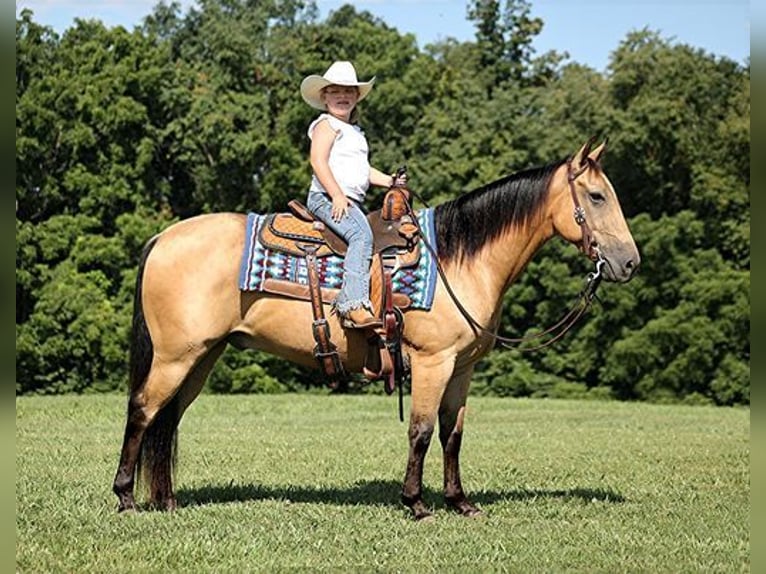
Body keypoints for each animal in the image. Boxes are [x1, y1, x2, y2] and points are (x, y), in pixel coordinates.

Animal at [112, 141, 640, 520]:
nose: (629, 262)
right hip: (176, 355)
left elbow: (452, 434)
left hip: (203, 356)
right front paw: (417, 503)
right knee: (142, 410)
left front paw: (460, 502)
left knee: (168, 418)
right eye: (597, 196)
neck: (459, 259)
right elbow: (421, 431)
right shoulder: (431, 361)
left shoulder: (461, 369)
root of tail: (163, 237)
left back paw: (167, 500)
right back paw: (126, 498)